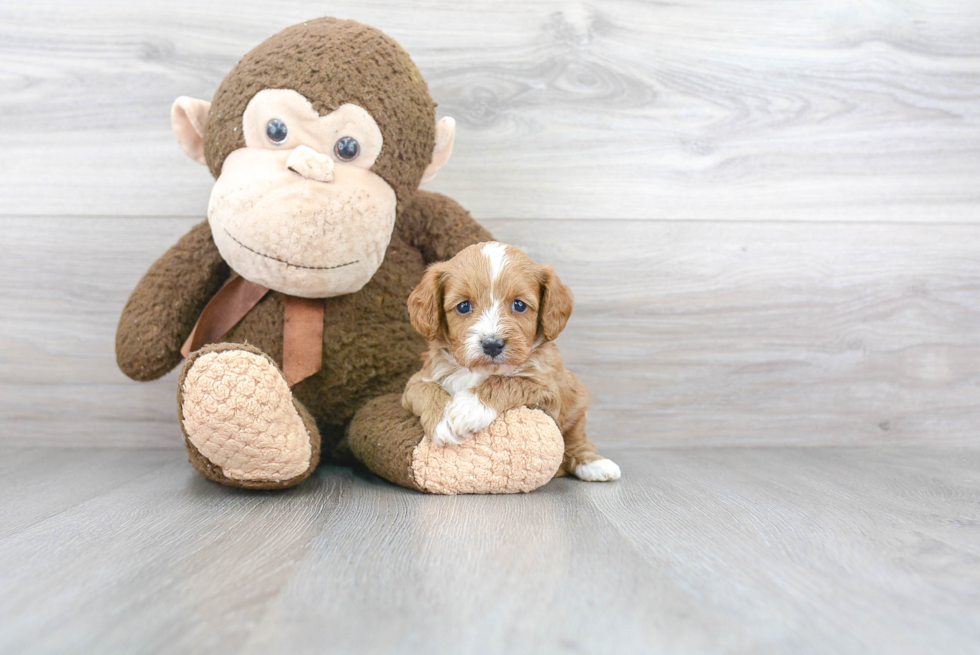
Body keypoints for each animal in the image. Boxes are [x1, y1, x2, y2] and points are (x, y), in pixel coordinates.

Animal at [400, 241, 620, 482]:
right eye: (464, 306)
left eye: (519, 305)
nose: (492, 344)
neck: (481, 370)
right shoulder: (417, 380)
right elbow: (426, 389)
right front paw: (442, 420)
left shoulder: (547, 388)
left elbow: (508, 381)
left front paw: (469, 407)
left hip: (577, 405)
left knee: (576, 442)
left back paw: (595, 464)